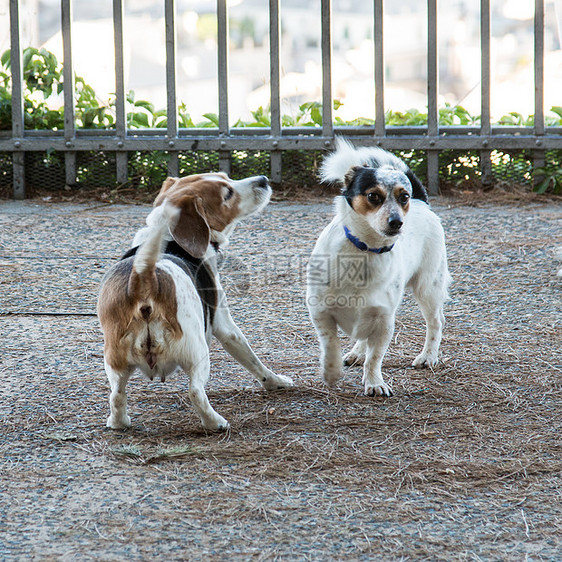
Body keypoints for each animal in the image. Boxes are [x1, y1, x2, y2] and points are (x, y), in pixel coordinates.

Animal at [97, 172, 294, 428]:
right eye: (227, 193)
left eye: (225, 177)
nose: (263, 179)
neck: (169, 237)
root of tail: (144, 281)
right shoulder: (224, 326)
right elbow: (252, 359)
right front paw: (275, 381)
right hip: (197, 352)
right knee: (195, 392)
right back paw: (215, 422)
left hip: (116, 362)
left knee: (117, 394)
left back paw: (119, 422)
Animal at [304, 138, 448, 396]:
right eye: (373, 196)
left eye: (403, 197)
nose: (397, 222)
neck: (365, 250)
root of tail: (422, 203)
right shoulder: (320, 311)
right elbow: (330, 344)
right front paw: (331, 372)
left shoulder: (384, 321)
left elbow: (375, 357)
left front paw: (374, 383)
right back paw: (356, 353)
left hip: (428, 288)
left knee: (435, 322)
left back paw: (428, 356)